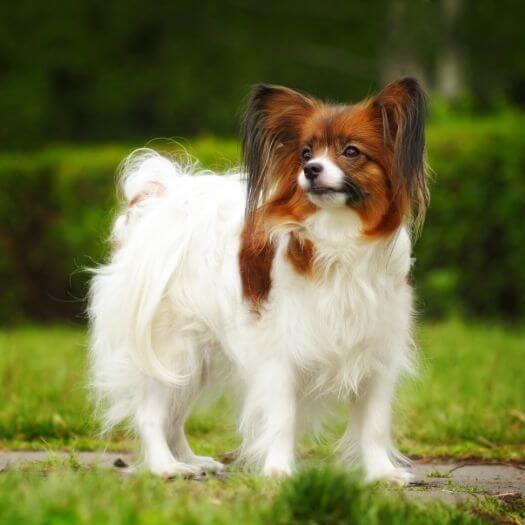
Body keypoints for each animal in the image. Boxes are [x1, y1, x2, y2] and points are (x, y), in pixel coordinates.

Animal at [89, 78, 426, 484]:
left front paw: (382, 475)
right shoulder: (280, 352)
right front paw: (279, 471)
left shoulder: (376, 352)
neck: (338, 240)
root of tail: (157, 203)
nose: (311, 169)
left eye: (351, 152)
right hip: (172, 348)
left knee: (174, 415)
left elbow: (374, 424)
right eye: (305, 153)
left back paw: (192, 460)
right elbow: (282, 418)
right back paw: (166, 466)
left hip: (197, 357)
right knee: (152, 412)